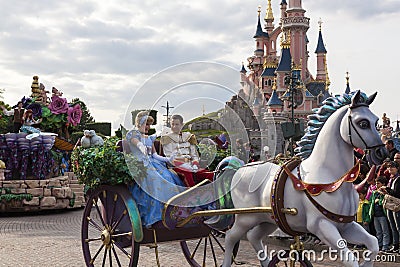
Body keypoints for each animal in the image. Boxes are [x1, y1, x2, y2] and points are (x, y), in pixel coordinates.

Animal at [222, 90, 388, 267]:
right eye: (362, 123)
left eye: (376, 121)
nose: (381, 153)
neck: (331, 178)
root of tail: (240, 169)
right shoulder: (321, 225)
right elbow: (350, 259)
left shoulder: (346, 225)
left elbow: (373, 243)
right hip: (246, 217)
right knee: (230, 237)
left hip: (268, 219)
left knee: (253, 236)